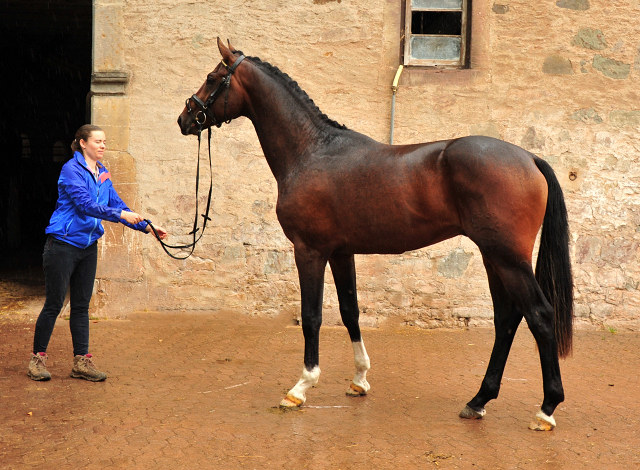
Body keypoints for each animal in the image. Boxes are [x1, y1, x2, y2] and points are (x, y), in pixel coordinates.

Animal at [178, 38, 572, 432]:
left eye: (211, 78)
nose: (185, 118)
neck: (312, 150)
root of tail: (530, 159)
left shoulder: (310, 251)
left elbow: (312, 316)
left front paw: (301, 387)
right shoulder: (341, 252)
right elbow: (350, 311)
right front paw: (359, 380)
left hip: (508, 258)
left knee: (539, 315)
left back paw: (546, 409)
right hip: (494, 258)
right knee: (506, 319)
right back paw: (478, 401)